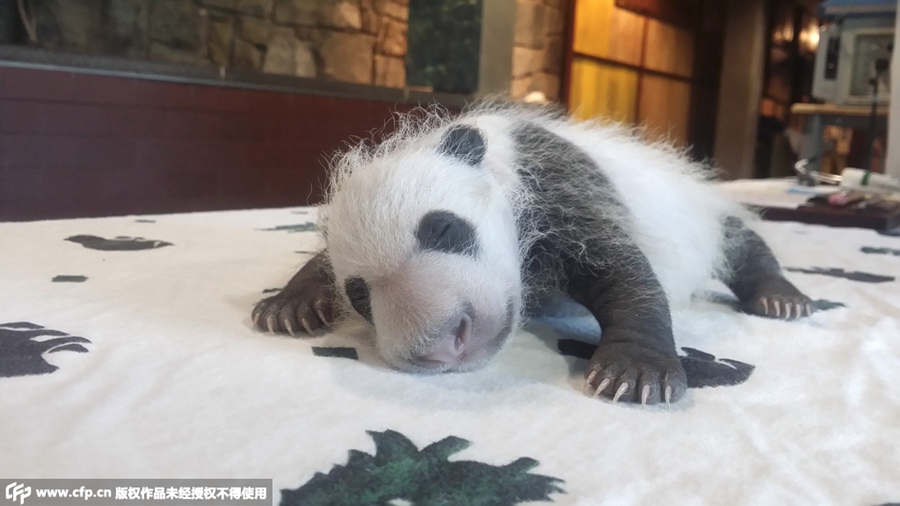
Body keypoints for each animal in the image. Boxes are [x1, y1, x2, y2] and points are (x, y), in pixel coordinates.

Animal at [252, 101, 814, 406]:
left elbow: (624, 270)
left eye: (444, 229)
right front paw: (288, 305)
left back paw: (780, 297)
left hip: (699, 211)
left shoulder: (557, 185)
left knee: (741, 240)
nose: (442, 343)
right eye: (360, 296)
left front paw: (635, 372)